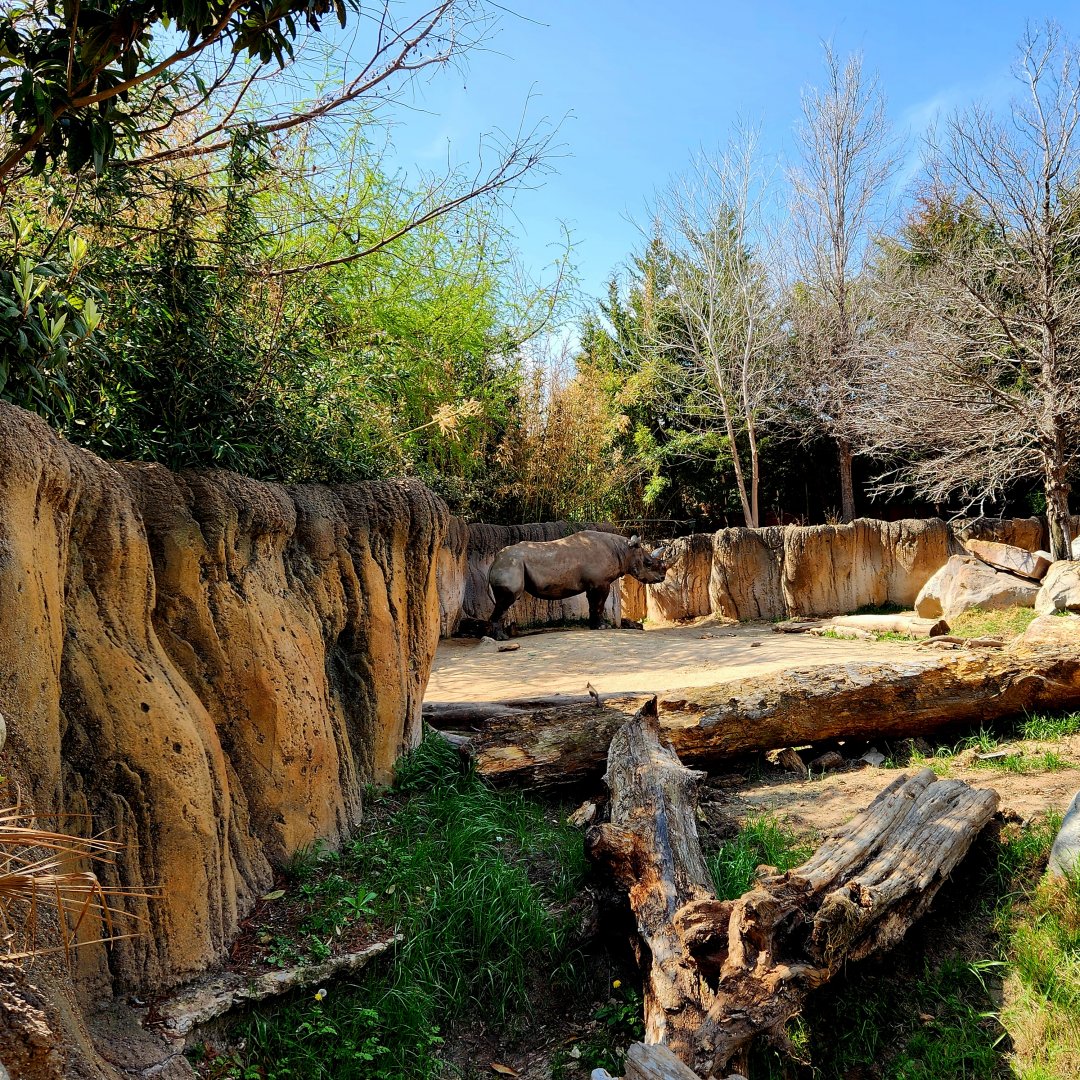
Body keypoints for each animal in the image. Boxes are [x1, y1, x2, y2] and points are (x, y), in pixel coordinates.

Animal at [487, 531, 668, 640]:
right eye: (648, 563)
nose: (662, 577)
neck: (624, 551)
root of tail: (495, 560)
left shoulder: (594, 584)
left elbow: (593, 605)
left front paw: (595, 627)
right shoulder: (600, 583)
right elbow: (599, 604)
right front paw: (602, 627)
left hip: (509, 564)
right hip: (511, 564)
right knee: (507, 600)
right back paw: (502, 638)